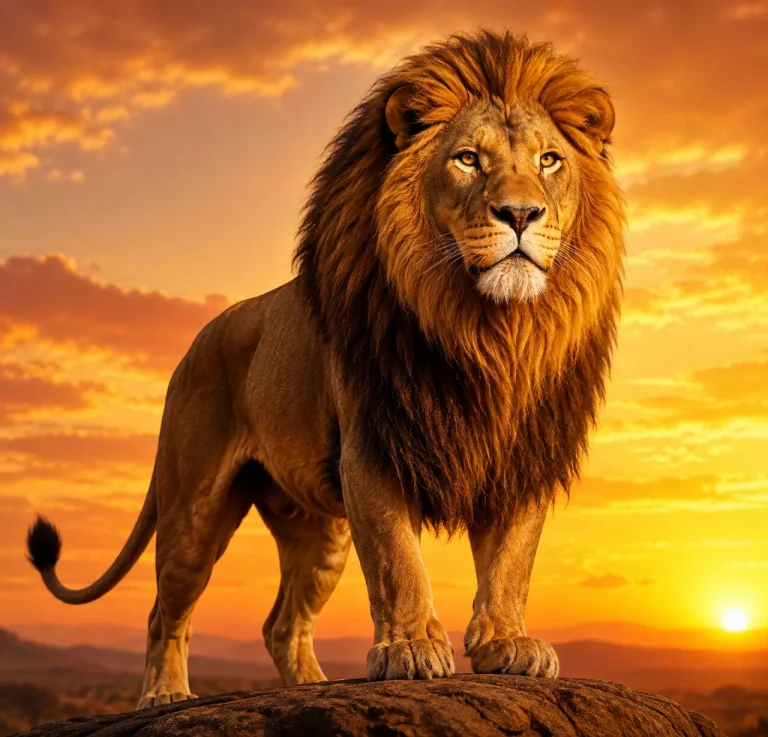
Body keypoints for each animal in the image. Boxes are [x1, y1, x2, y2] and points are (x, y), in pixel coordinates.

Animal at [26, 30, 624, 708]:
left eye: (549, 161)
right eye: (469, 159)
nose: (521, 214)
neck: (489, 331)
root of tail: (195, 344)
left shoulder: (522, 453)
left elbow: (511, 561)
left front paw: (507, 645)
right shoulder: (373, 448)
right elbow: (398, 559)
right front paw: (411, 649)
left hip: (317, 530)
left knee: (281, 624)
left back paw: (315, 687)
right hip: (193, 508)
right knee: (164, 611)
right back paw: (166, 695)